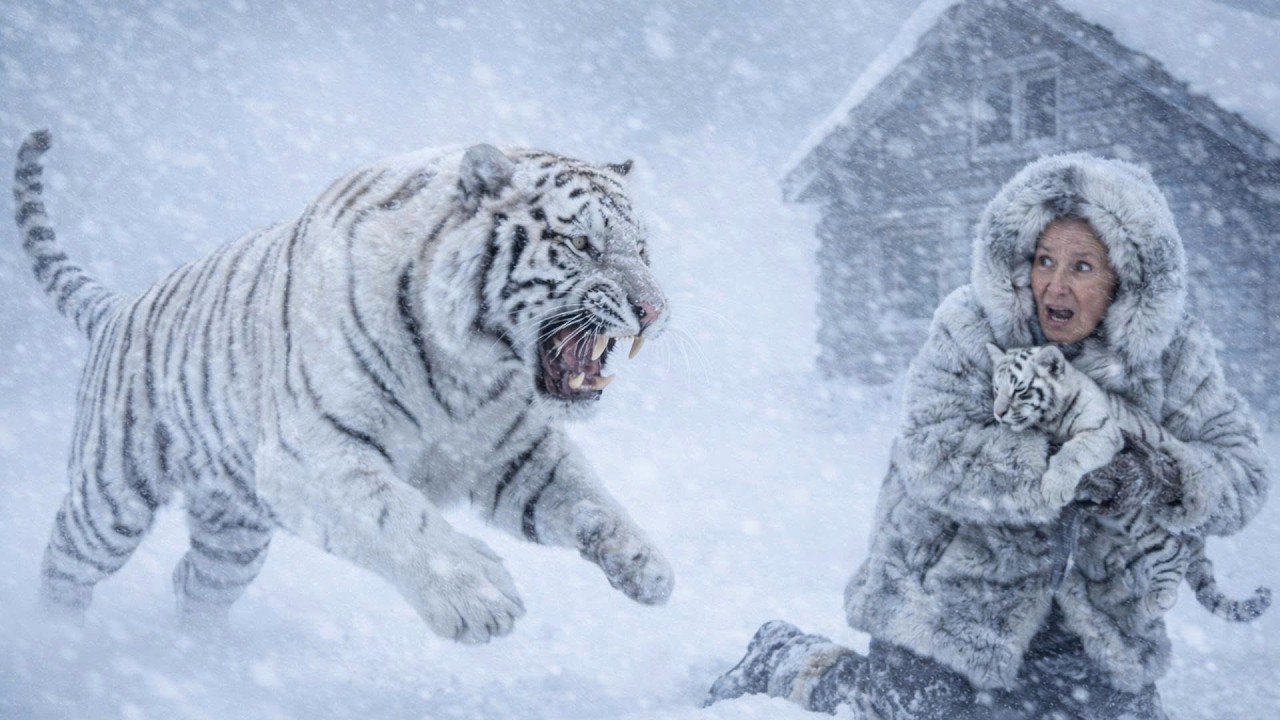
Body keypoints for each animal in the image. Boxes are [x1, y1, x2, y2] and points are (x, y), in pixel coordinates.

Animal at [12, 130, 674, 643]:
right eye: (580, 244)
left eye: (643, 250)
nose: (654, 311)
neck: (469, 365)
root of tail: (121, 306)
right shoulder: (312, 452)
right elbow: (397, 516)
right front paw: (479, 599)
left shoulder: (512, 452)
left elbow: (588, 497)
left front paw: (646, 565)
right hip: (113, 496)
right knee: (64, 563)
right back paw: (54, 645)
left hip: (234, 529)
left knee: (196, 583)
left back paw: (204, 658)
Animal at [986, 343, 1270, 622]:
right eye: (996, 389)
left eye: (1020, 390)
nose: (998, 413)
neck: (1050, 420)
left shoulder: (1102, 432)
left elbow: (1074, 451)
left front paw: (1055, 488)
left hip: (1148, 523)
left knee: (1177, 554)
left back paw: (1157, 601)